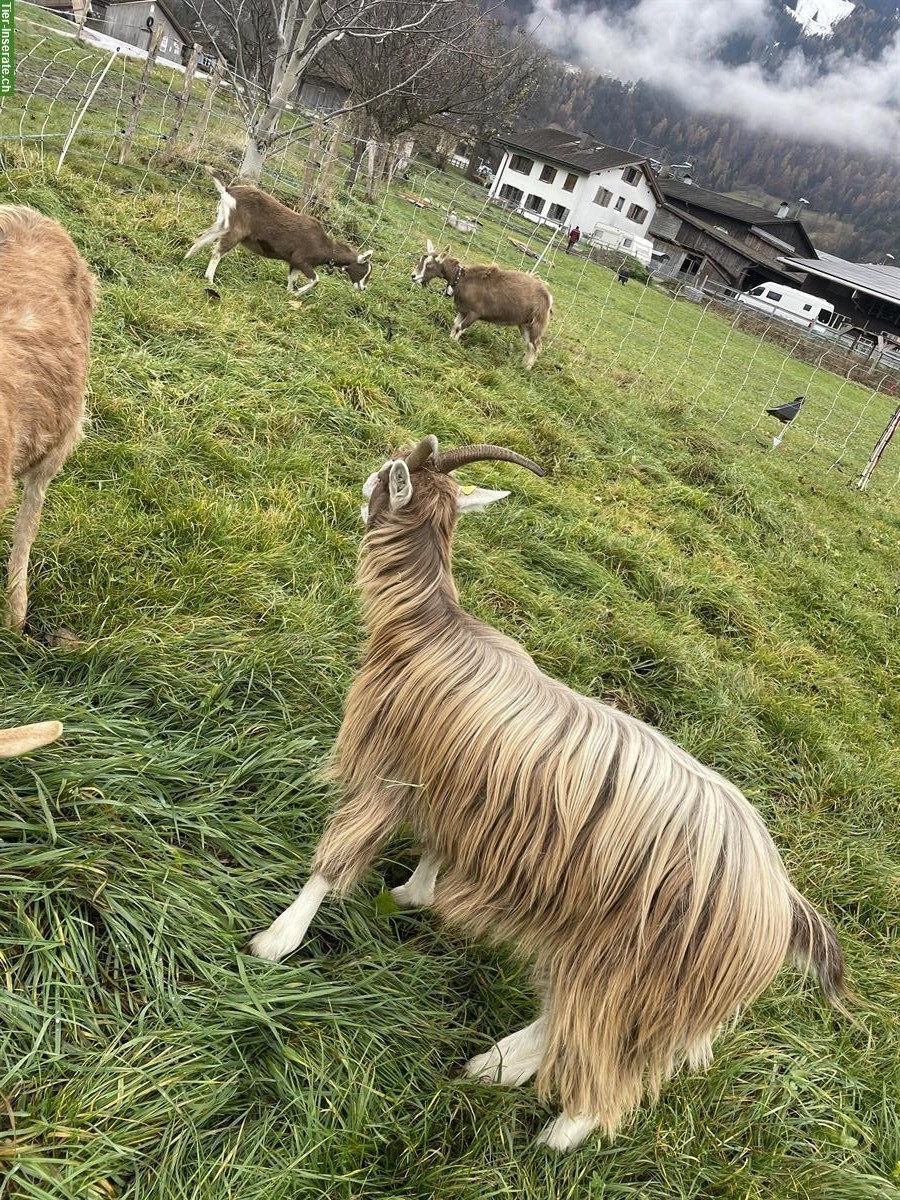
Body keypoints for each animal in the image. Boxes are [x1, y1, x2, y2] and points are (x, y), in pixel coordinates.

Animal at [186, 171, 374, 295]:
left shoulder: (294, 263)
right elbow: (315, 280)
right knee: (217, 251)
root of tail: (227, 190)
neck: (327, 247)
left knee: (202, 237)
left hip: (224, 222)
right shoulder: (301, 259)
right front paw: (296, 293)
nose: (363, 288)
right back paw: (209, 279)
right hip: (236, 230)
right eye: (364, 270)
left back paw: (186, 260)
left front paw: (289, 294)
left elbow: (292, 279)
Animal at [248, 434, 854, 1152]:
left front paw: (277, 941)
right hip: (636, 976)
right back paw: (495, 1066)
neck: (430, 628)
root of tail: (784, 908)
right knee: (581, 1028)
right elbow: (438, 845)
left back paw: (554, 1138)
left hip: (634, 969)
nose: (359, 485)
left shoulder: (387, 759)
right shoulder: (463, 786)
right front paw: (415, 894)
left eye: (386, 473)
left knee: (607, 1068)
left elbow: (337, 858)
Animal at [412, 240, 554, 367]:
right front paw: (449, 340)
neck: (462, 279)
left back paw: (526, 369)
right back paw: (522, 366)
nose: (413, 276)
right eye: (421, 259)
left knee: (536, 347)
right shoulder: (462, 310)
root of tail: (548, 296)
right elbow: (455, 325)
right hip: (524, 324)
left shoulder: (474, 313)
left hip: (537, 323)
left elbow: (460, 327)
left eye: (429, 264)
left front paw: (453, 344)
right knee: (529, 345)